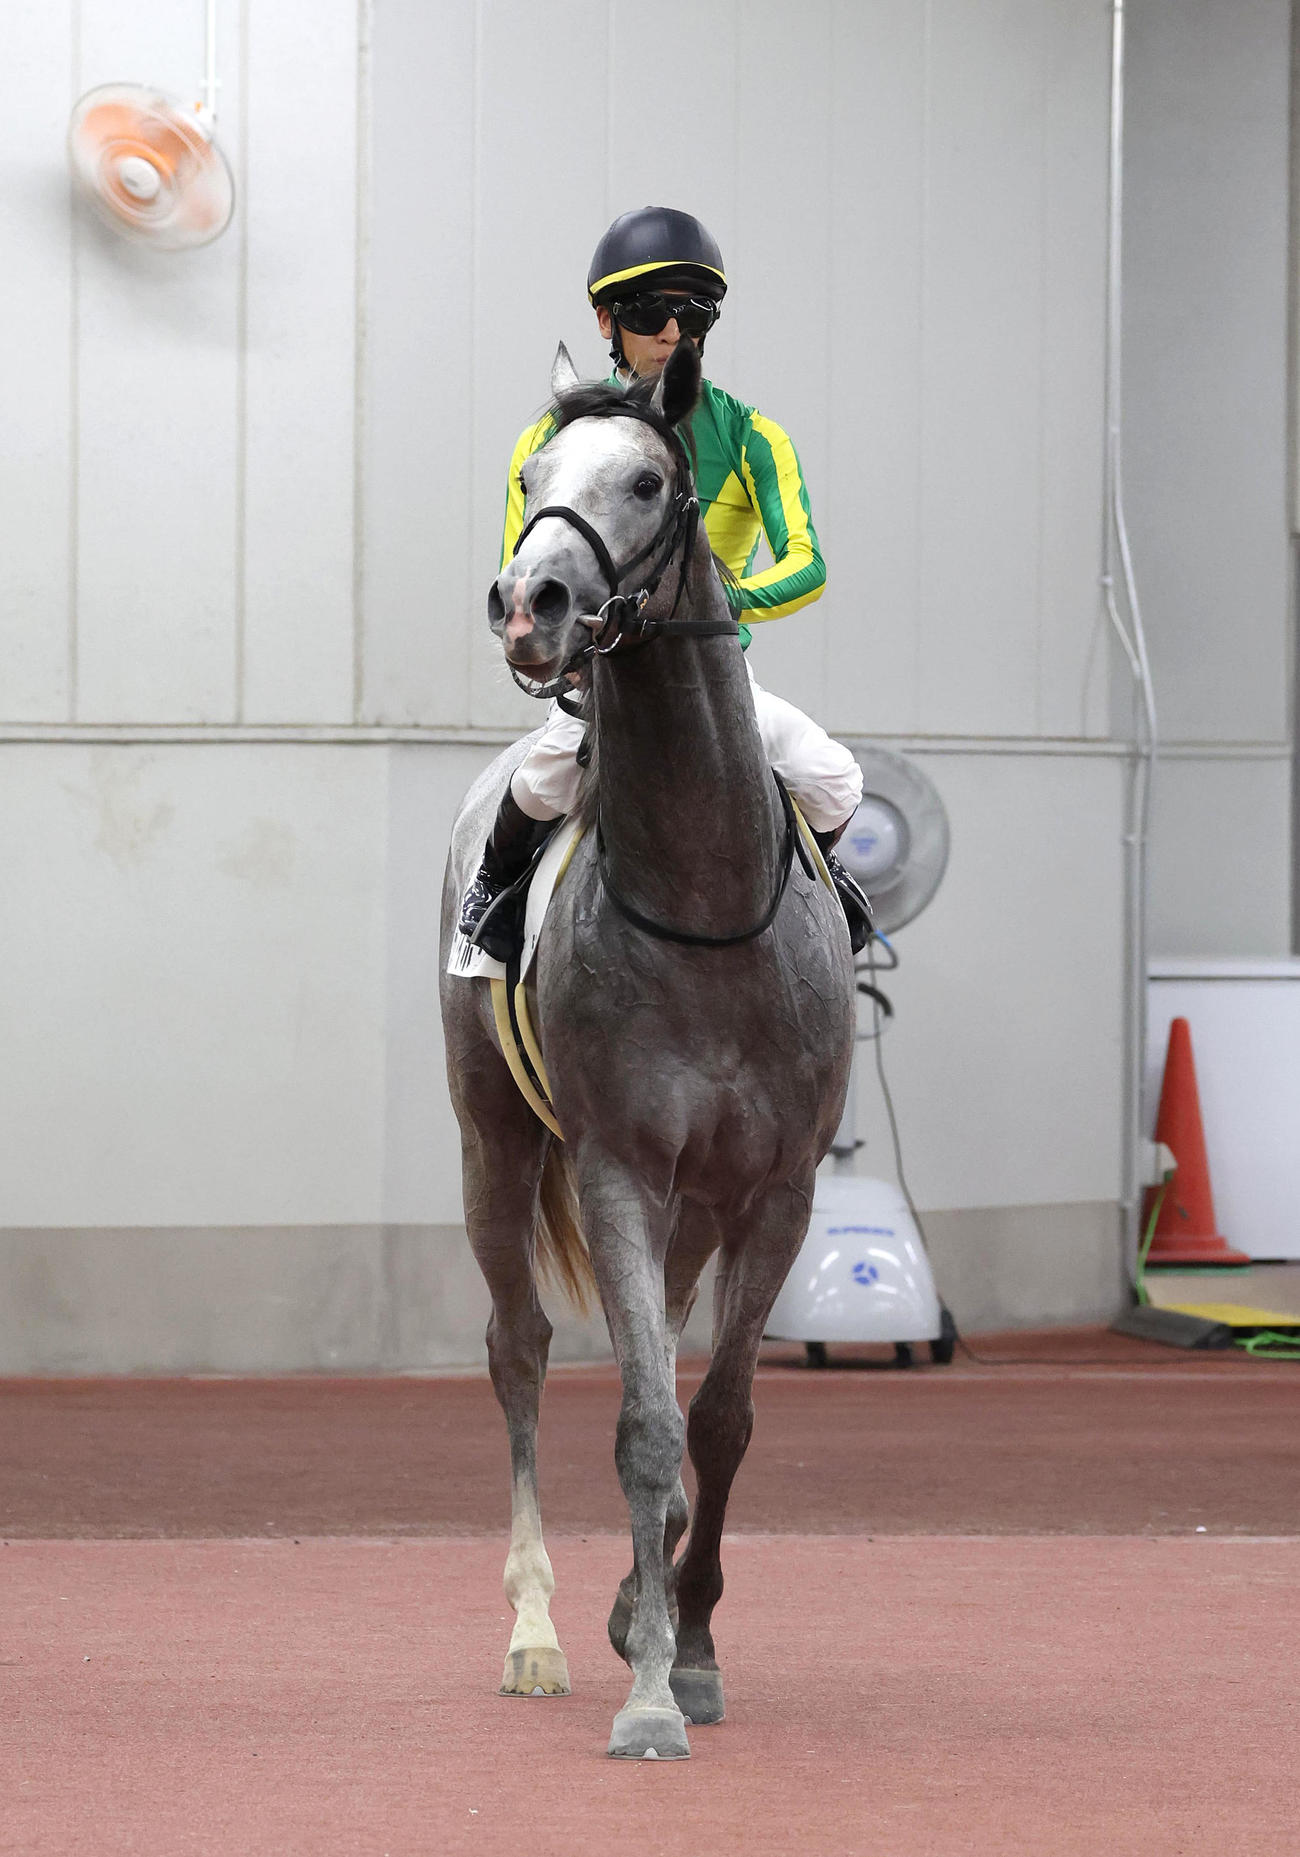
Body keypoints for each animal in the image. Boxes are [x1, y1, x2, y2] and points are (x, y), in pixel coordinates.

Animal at [439, 337, 855, 1760]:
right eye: (530, 478)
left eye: (648, 480)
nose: (531, 603)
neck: (706, 901)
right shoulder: (618, 1163)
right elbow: (642, 1420)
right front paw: (651, 1693)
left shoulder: (777, 1186)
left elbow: (716, 1417)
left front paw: (694, 1643)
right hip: (496, 1143)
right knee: (516, 1351)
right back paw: (535, 1635)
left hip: (697, 1203)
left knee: (663, 1343)